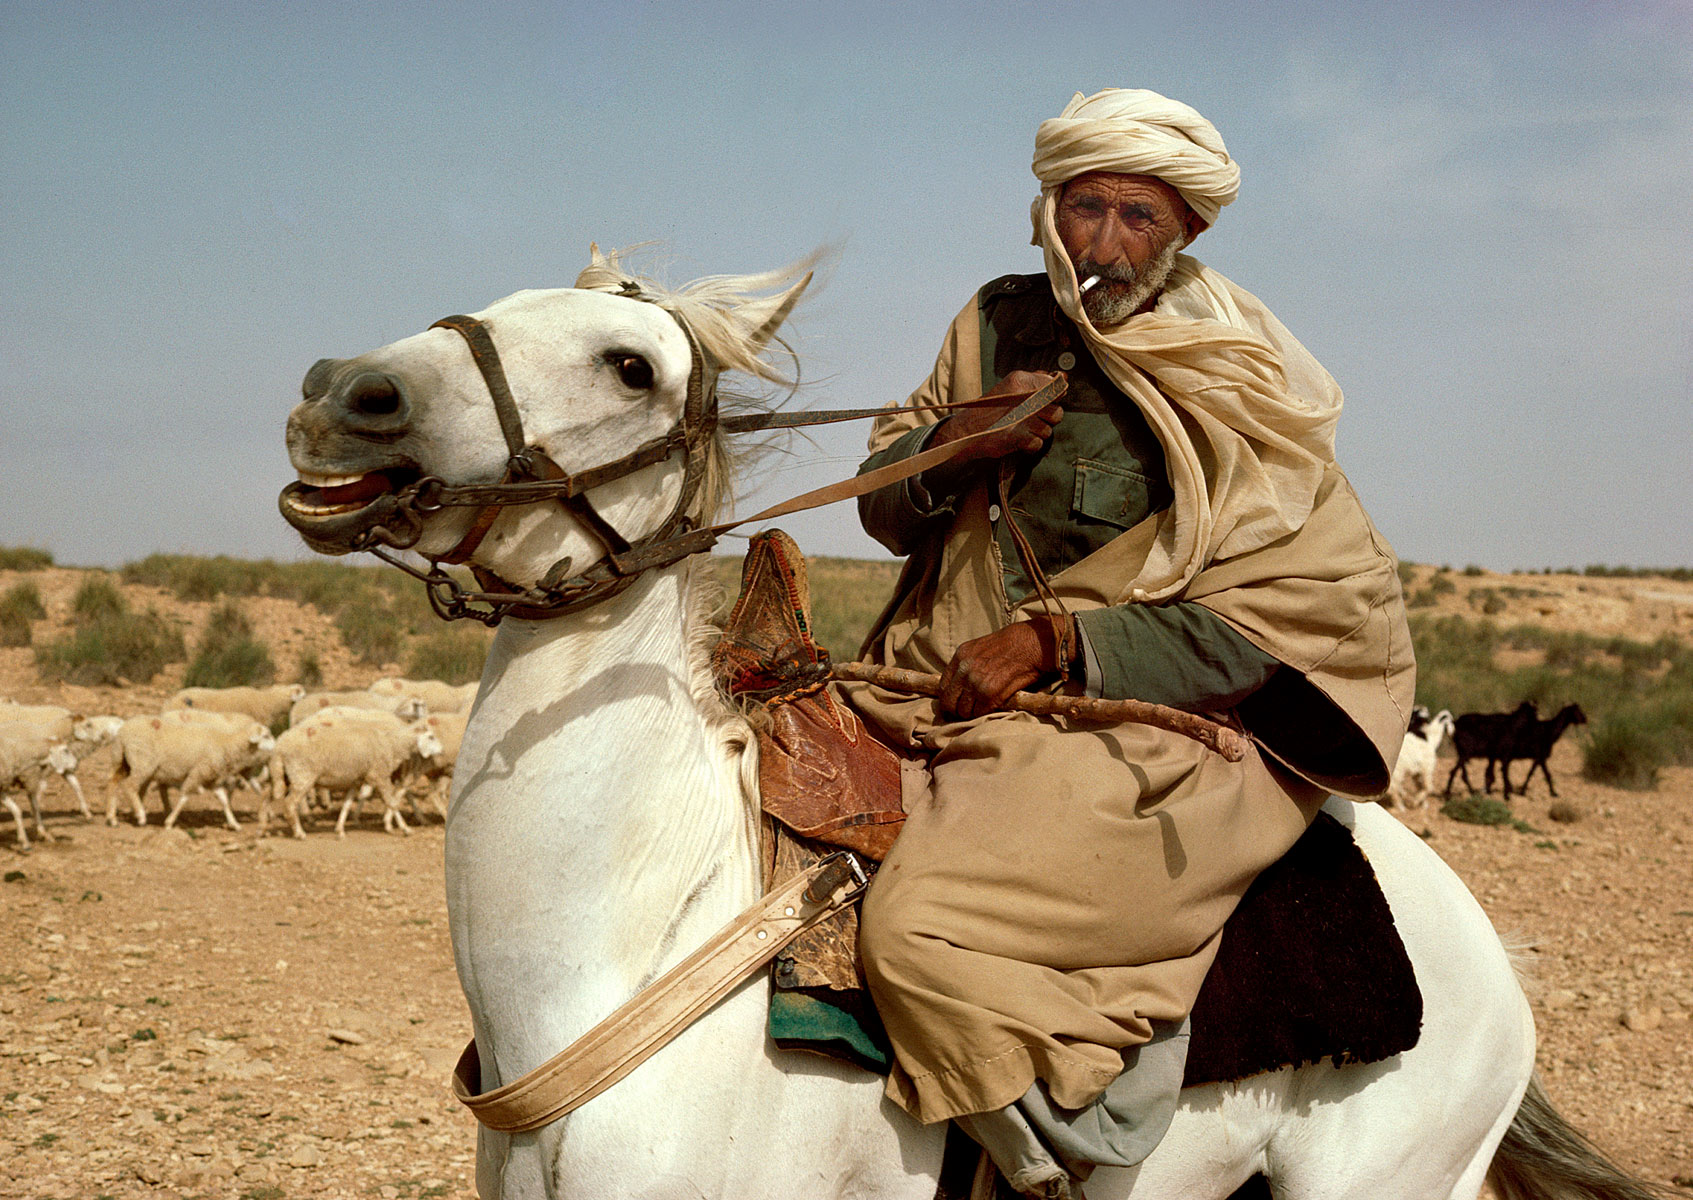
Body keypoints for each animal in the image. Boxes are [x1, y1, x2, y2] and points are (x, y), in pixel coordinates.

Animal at [110, 707, 275, 829]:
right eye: (266, 736)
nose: (276, 746)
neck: (225, 744)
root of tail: (123, 733)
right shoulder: (198, 772)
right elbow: (184, 797)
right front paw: (169, 822)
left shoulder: (211, 778)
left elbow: (223, 800)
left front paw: (234, 823)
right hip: (143, 763)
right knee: (129, 786)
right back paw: (140, 815)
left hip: (123, 761)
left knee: (114, 783)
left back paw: (113, 818)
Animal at [259, 707, 440, 839]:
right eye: (430, 737)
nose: (441, 750)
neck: (393, 743)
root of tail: (279, 747)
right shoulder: (379, 776)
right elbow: (393, 803)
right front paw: (404, 829)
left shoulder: (356, 780)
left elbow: (346, 805)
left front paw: (340, 829)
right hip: (302, 775)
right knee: (289, 804)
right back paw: (299, 833)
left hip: (282, 775)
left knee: (267, 796)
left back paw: (262, 829)